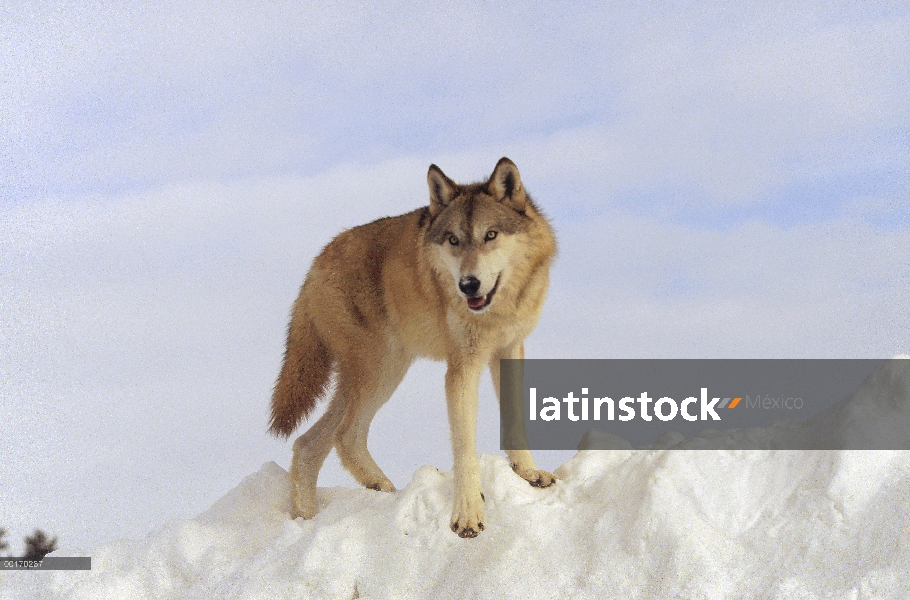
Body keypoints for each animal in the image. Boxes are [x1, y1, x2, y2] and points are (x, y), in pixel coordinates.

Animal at [268, 157, 560, 536]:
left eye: (491, 235)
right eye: (453, 240)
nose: (468, 285)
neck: (497, 312)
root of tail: (316, 264)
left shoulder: (509, 350)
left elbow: (515, 420)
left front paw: (529, 474)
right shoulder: (462, 367)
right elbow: (464, 447)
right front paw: (468, 516)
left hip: (372, 376)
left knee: (309, 444)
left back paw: (312, 517)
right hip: (381, 371)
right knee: (344, 435)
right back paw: (377, 490)